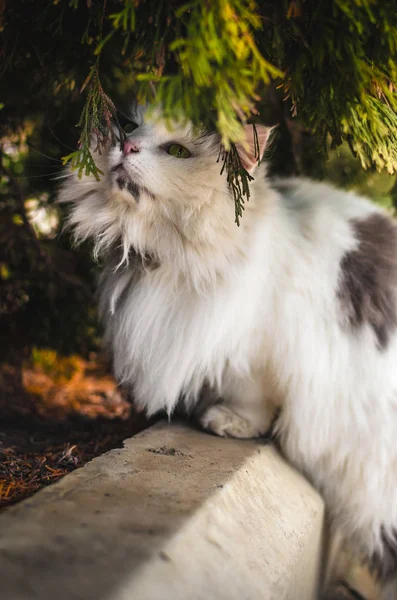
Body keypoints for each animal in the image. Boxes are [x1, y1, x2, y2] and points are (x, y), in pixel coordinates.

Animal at [58, 105, 396, 596]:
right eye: (130, 126)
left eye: (177, 151)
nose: (127, 145)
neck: (170, 258)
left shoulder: (260, 348)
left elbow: (250, 396)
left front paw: (228, 421)